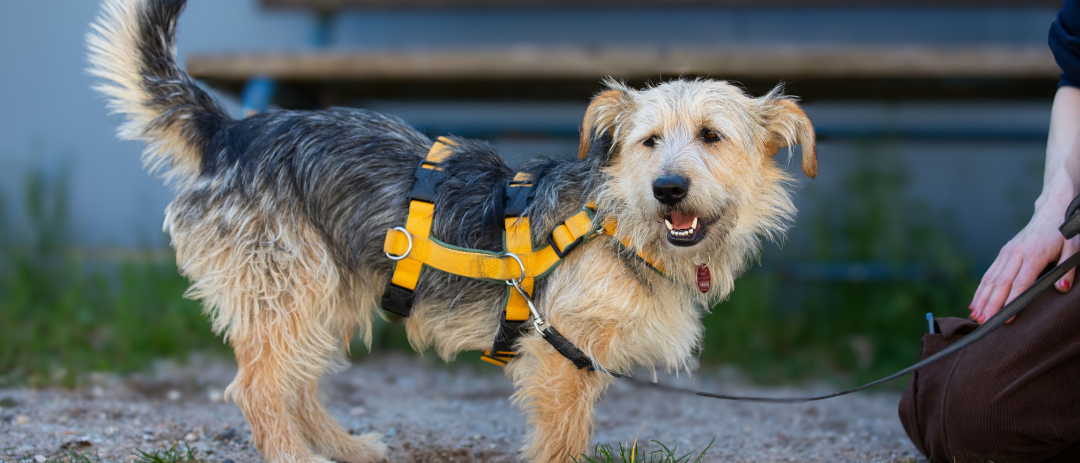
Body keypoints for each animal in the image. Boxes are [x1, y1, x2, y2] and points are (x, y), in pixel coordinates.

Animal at [87, 0, 816, 461]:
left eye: (711, 137)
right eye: (649, 141)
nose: (669, 187)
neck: (618, 219)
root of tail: (231, 132)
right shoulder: (563, 354)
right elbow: (561, 441)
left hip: (325, 293)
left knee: (293, 381)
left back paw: (345, 446)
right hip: (288, 288)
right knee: (259, 387)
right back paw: (300, 456)